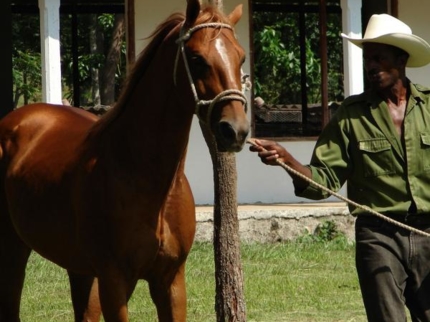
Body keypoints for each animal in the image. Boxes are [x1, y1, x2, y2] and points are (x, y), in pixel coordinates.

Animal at [0, 1, 249, 320]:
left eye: (241, 57)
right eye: (197, 58)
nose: (236, 130)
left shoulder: (171, 281)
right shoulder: (114, 282)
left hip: (79, 269)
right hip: (13, 247)